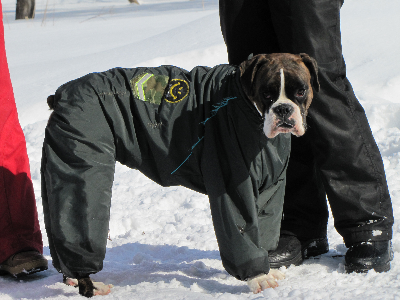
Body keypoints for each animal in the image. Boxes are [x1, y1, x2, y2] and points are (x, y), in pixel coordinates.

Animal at [42, 52, 318, 296]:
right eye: (267, 94)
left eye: (300, 91)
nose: (283, 109)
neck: (243, 103)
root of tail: (61, 95)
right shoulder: (232, 187)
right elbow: (242, 232)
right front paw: (259, 279)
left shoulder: (271, 186)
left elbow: (266, 227)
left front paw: (270, 266)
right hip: (84, 168)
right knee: (80, 224)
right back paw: (89, 283)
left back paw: (70, 277)